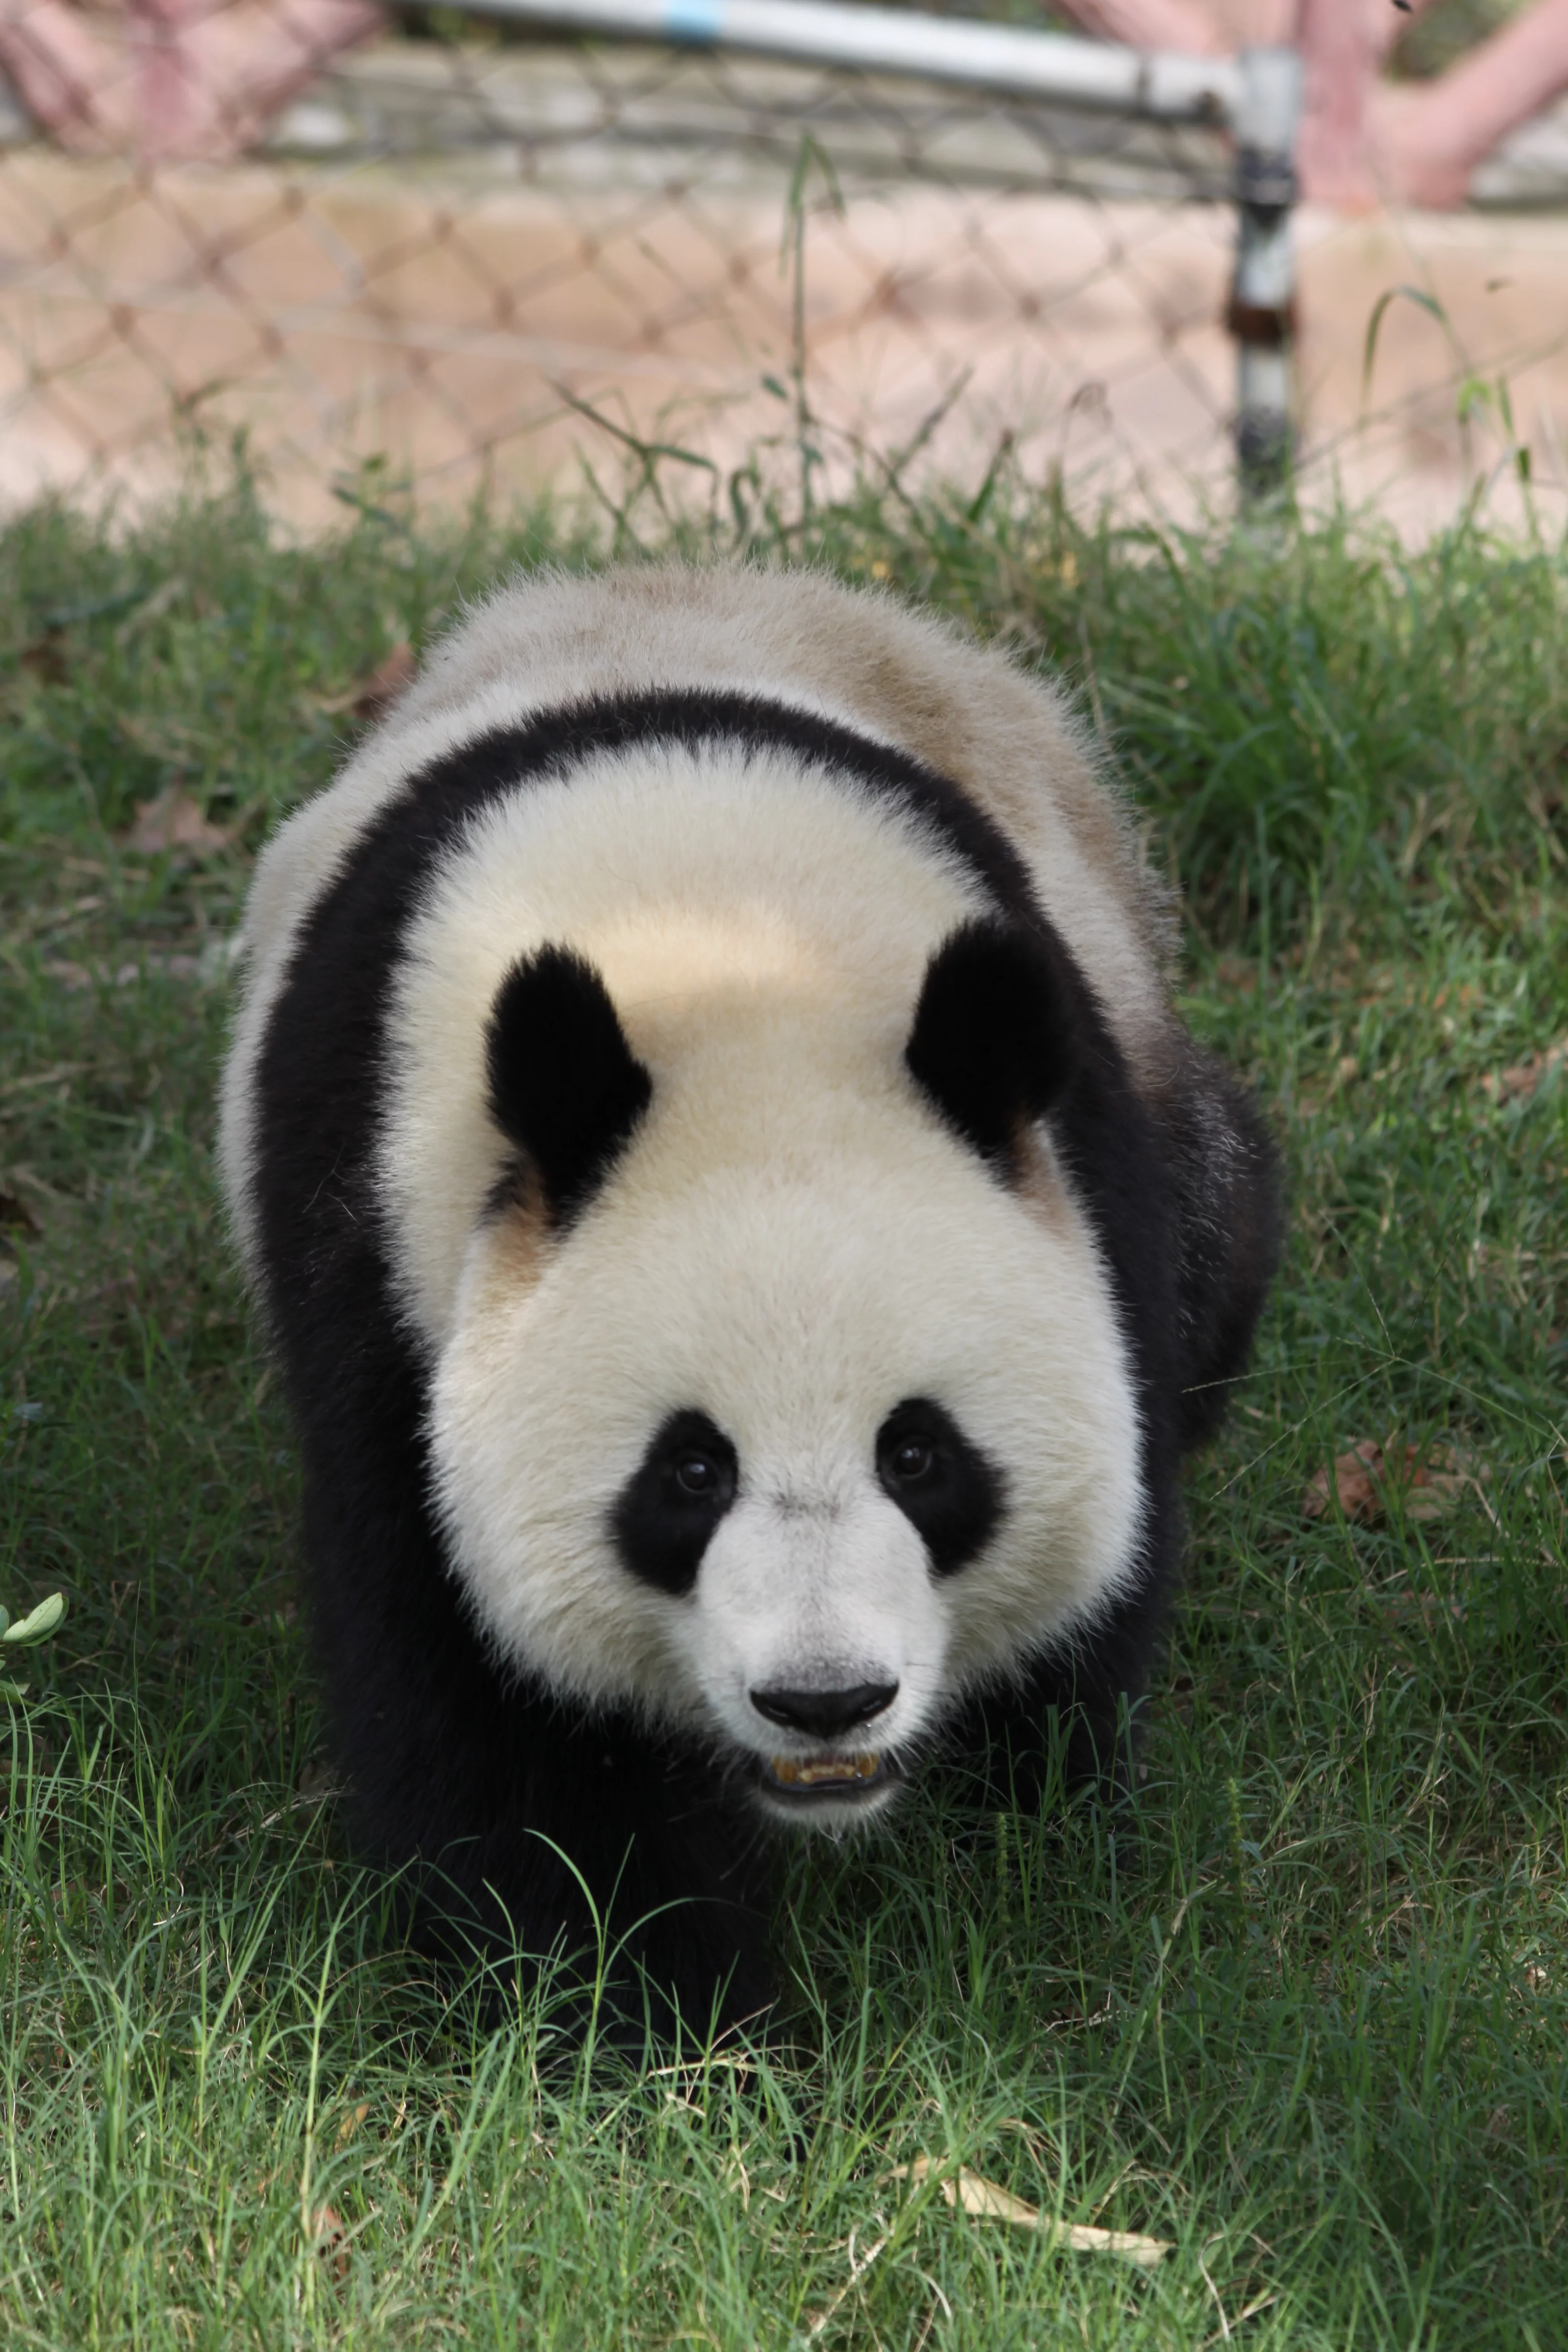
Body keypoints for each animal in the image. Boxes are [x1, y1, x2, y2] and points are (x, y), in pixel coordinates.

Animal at [219, 562, 1277, 2036]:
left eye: (918, 1454)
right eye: (690, 1471)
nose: (825, 1701)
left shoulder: (1088, 1161)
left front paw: (1035, 1854)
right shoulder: (376, 1262)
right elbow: (491, 1696)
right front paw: (650, 2016)